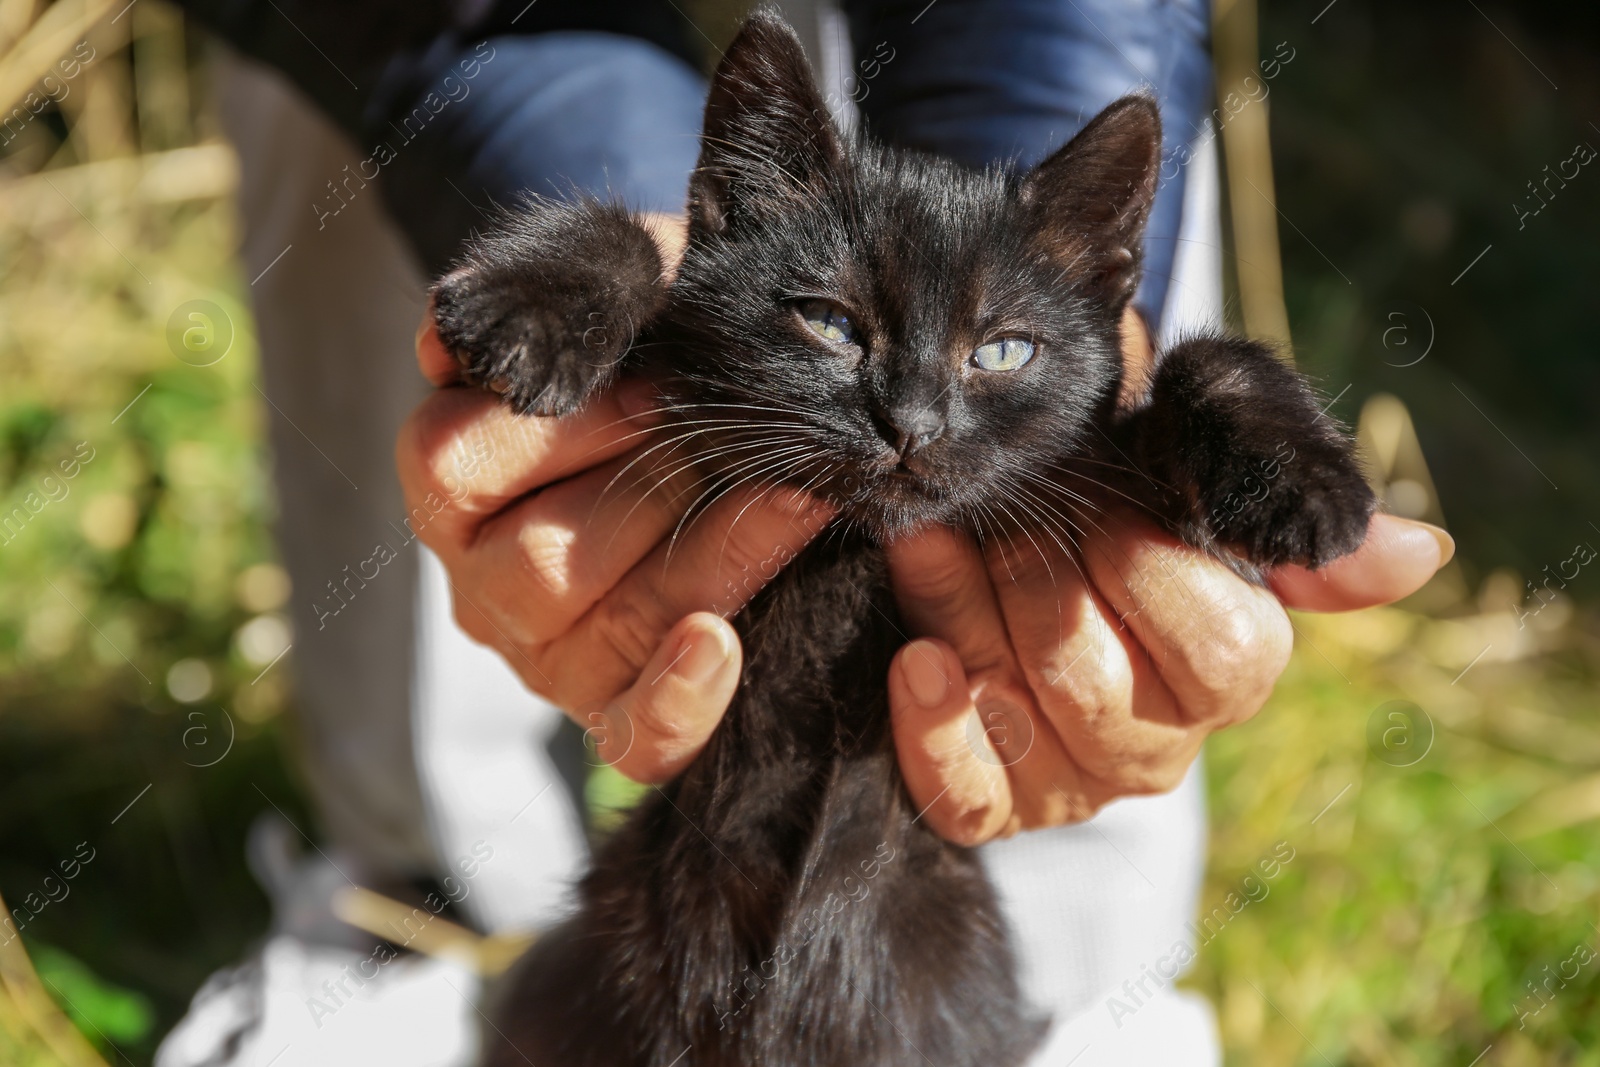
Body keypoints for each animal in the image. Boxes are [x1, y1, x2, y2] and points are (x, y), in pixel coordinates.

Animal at [438, 10, 1376, 1067]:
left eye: (1002, 349)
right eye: (830, 322)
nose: (912, 423)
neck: (848, 552)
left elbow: (1213, 356)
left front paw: (1311, 485)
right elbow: (633, 239)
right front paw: (527, 302)